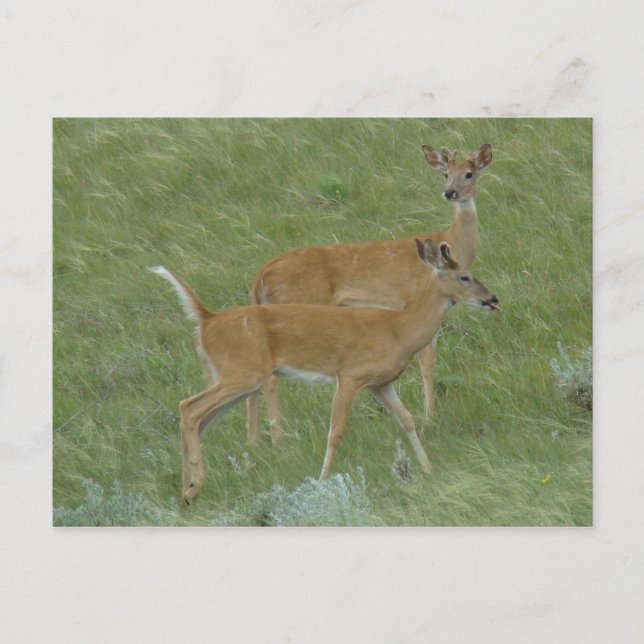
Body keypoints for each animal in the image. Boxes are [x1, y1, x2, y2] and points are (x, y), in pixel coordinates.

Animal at [150, 238, 499, 503]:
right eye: (465, 276)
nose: (492, 298)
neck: (398, 330)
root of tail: (207, 320)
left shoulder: (381, 383)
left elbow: (407, 420)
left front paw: (428, 469)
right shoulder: (350, 375)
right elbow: (336, 431)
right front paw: (322, 480)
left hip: (236, 378)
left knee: (196, 417)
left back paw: (187, 488)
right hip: (243, 372)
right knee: (189, 407)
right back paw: (195, 487)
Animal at [247, 144, 493, 443]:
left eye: (469, 174)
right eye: (446, 174)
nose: (450, 192)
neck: (452, 242)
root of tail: (261, 275)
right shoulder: (416, 302)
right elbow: (428, 364)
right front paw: (430, 417)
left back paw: (255, 440)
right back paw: (277, 436)